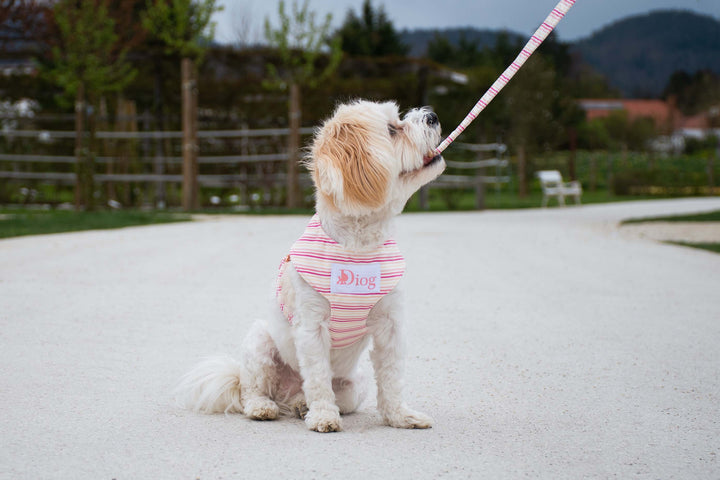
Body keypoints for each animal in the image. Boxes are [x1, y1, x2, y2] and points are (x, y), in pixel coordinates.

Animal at [174, 99, 444, 434]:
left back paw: (301, 405)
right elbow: (317, 378)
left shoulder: (390, 325)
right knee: (252, 390)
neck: (356, 246)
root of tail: (285, 392)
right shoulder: (312, 328)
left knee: (313, 396)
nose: (432, 116)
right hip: (260, 344)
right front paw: (324, 417)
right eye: (393, 129)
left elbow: (392, 377)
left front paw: (400, 416)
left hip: (354, 387)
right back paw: (264, 407)